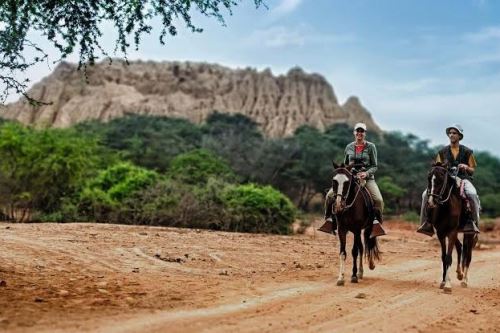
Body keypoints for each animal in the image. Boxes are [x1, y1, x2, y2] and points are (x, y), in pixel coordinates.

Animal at [426, 162, 476, 292]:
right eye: (429, 178)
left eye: (440, 180)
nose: (431, 202)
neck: (446, 207)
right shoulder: (441, 233)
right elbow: (444, 257)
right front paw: (443, 281)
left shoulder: (452, 232)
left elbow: (448, 257)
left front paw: (448, 285)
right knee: (460, 247)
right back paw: (459, 273)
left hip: (469, 234)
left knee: (468, 255)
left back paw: (464, 280)